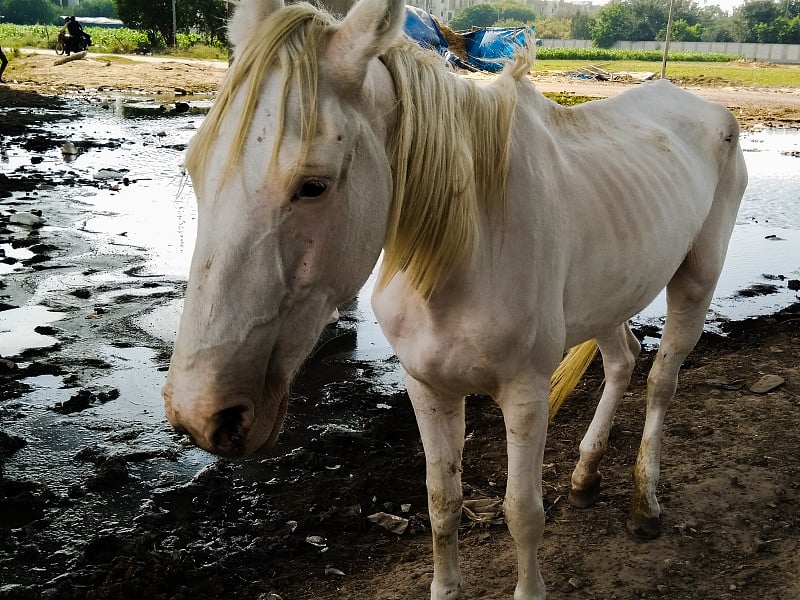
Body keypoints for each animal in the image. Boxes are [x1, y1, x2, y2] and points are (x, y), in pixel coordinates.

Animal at [162, 0, 752, 596]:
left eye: (313, 185)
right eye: (194, 168)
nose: (201, 414)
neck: (466, 246)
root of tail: (702, 106)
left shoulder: (525, 393)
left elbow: (523, 513)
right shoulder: (427, 387)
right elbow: (442, 502)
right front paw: (445, 585)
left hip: (697, 279)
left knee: (660, 382)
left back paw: (644, 504)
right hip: (611, 292)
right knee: (622, 361)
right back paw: (586, 477)